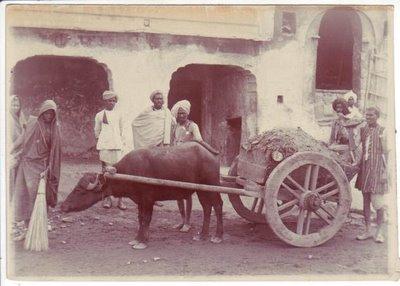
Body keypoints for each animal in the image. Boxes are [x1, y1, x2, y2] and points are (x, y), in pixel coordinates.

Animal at [60, 142, 222, 249]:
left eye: (80, 191)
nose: (63, 206)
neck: (129, 172)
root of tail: (210, 154)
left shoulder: (148, 199)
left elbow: (146, 218)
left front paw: (143, 241)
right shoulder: (139, 201)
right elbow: (140, 218)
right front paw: (137, 238)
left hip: (212, 185)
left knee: (217, 205)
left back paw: (217, 236)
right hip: (201, 190)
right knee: (207, 207)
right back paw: (203, 234)